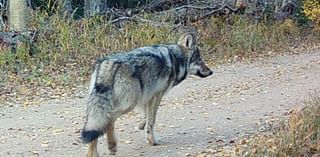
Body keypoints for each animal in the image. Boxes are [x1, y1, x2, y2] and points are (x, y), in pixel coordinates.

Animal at [81, 32, 214, 156]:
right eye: (200, 60)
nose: (211, 71)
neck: (175, 58)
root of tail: (108, 63)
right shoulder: (157, 95)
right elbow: (152, 119)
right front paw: (153, 141)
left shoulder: (146, 97)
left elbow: (146, 116)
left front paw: (142, 126)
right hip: (128, 104)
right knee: (109, 120)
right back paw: (112, 146)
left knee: (96, 127)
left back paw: (93, 153)